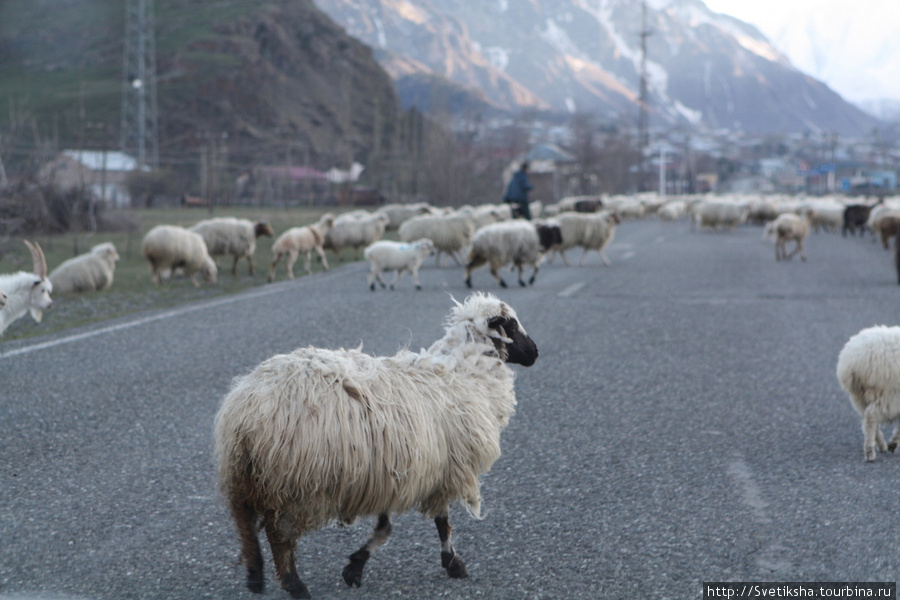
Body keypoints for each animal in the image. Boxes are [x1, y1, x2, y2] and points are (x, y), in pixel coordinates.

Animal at [214, 292, 536, 596]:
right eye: (511, 325)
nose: (535, 352)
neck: (466, 373)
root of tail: (246, 412)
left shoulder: (394, 472)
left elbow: (386, 526)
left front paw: (355, 567)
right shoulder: (444, 470)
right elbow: (439, 522)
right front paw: (453, 564)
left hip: (245, 473)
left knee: (244, 521)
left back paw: (255, 575)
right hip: (294, 483)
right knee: (277, 533)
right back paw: (294, 584)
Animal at [836, 326, 900, 462]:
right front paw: (894, 441)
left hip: (859, 397)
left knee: (867, 417)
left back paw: (881, 445)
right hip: (889, 394)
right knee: (871, 416)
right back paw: (870, 452)